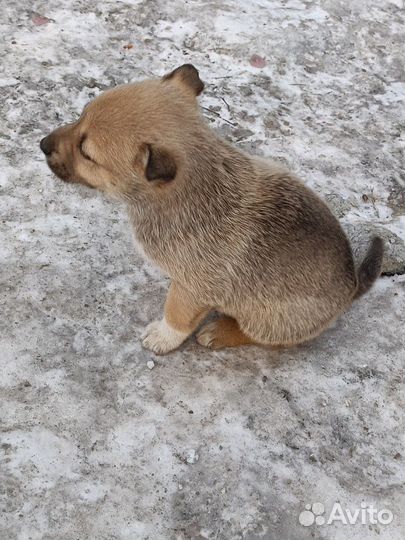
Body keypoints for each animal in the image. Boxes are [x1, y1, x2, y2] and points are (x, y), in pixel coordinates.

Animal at [40, 63, 382, 354]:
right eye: (80, 116)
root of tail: (350, 286)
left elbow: (176, 314)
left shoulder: (192, 286)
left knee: (270, 339)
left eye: (86, 152)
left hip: (271, 319)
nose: (42, 144)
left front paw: (162, 337)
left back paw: (220, 331)